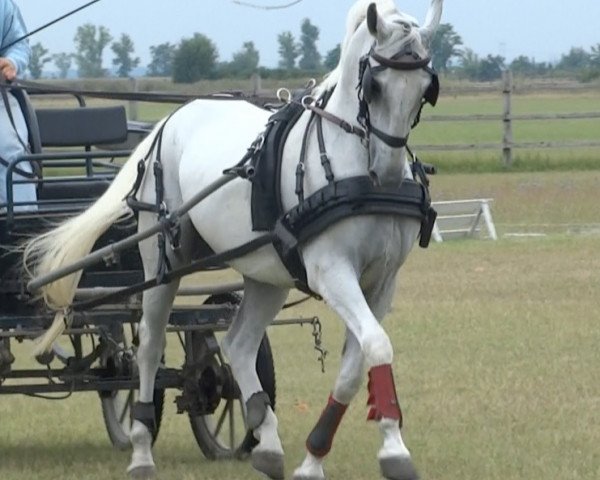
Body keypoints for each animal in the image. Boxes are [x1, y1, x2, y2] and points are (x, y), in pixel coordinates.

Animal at [23, 0, 442, 480]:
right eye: (374, 85)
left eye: (425, 89)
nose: (387, 173)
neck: (347, 162)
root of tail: (170, 120)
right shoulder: (331, 270)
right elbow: (376, 345)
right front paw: (393, 450)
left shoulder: (383, 280)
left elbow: (357, 363)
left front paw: (321, 455)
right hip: (164, 260)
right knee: (148, 345)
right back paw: (142, 448)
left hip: (266, 273)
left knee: (238, 343)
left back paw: (267, 441)